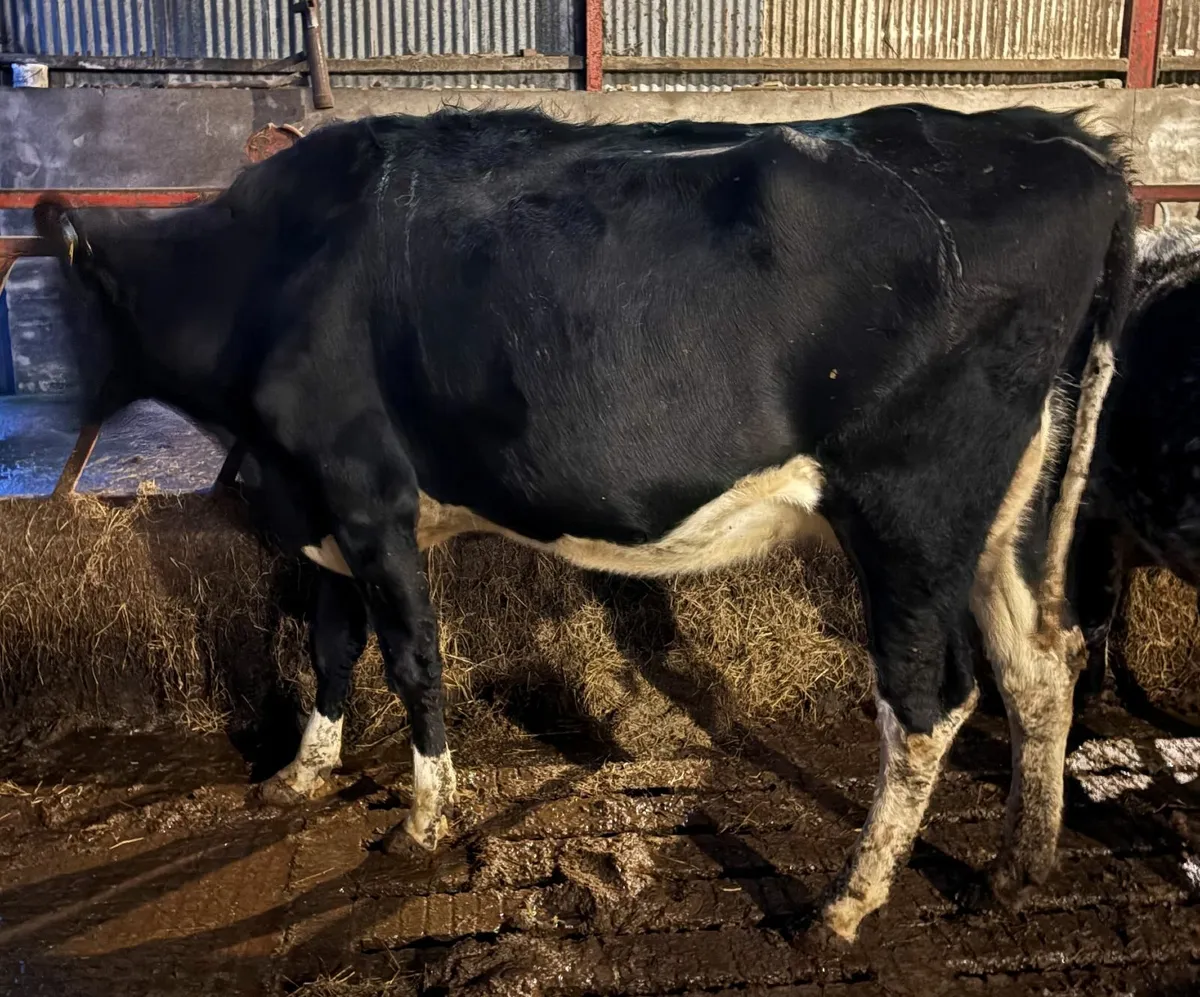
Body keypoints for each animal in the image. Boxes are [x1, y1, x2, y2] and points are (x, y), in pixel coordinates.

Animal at [33, 103, 1135, 942]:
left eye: (50, 305)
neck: (269, 274)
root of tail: (1062, 141)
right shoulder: (320, 508)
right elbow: (332, 646)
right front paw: (301, 773)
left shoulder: (366, 489)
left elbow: (411, 656)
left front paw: (425, 817)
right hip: (1002, 513)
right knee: (1042, 663)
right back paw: (1018, 864)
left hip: (910, 505)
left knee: (929, 698)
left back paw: (846, 902)